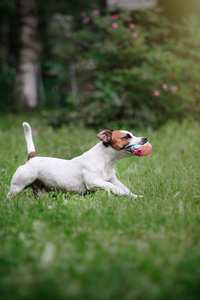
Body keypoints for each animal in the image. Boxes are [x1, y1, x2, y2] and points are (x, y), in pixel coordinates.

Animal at [7, 120, 148, 198]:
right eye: (127, 136)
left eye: (133, 134)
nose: (145, 138)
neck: (105, 161)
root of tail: (32, 158)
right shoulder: (93, 182)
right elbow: (111, 186)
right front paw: (119, 193)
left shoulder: (113, 180)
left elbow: (125, 189)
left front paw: (135, 196)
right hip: (17, 186)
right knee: (9, 195)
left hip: (39, 191)